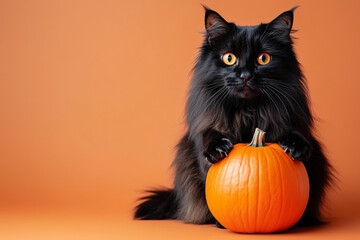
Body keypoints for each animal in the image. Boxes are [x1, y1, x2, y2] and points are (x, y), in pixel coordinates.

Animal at [134, 6, 332, 228]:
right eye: (229, 58)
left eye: (263, 58)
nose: (245, 75)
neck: (248, 111)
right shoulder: (205, 133)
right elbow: (210, 143)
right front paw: (218, 150)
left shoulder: (293, 125)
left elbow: (296, 136)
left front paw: (295, 147)